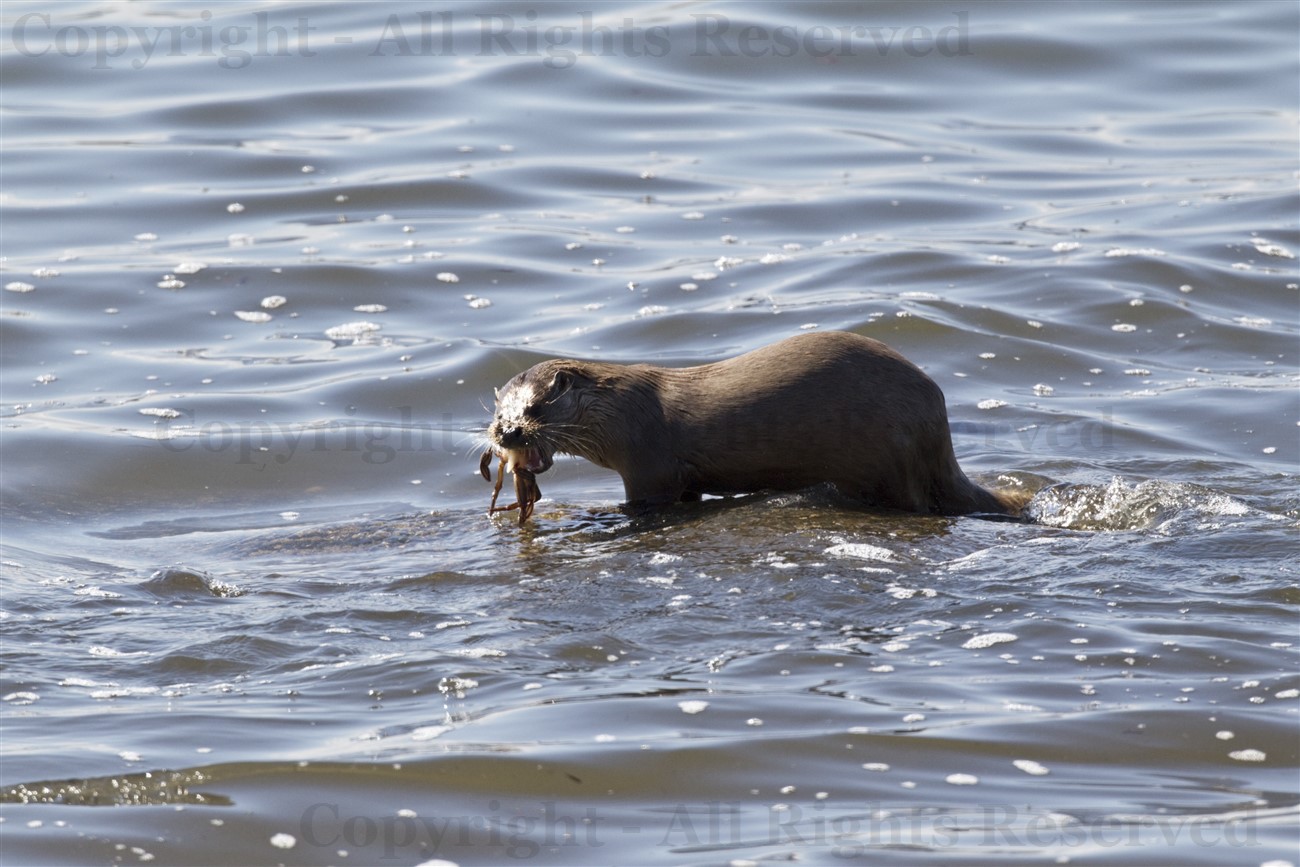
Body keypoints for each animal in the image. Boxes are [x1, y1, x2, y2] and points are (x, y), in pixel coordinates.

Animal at [484, 331, 1026, 518]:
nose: (508, 434)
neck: (624, 412)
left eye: (535, 409)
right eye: (496, 415)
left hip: (892, 455)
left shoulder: (649, 466)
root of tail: (938, 427)